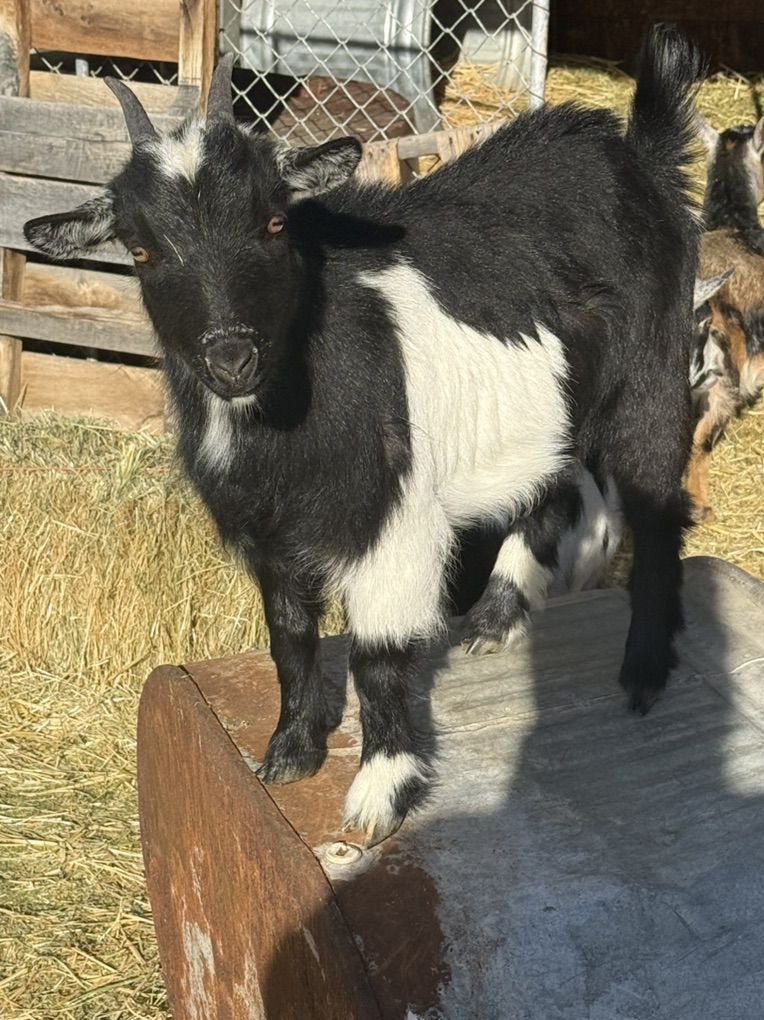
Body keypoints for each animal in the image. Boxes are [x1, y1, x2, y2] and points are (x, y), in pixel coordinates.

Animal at [25, 27, 703, 844]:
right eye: (139, 249)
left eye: (274, 222)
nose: (231, 357)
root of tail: (639, 157)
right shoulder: (270, 532)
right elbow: (289, 637)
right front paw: (288, 752)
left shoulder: (391, 518)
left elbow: (378, 655)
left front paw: (380, 792)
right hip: (554, 403)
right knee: (550, 489)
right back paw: (495, 618)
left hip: (653, 377)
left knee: (659, 508)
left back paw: (644, 672)